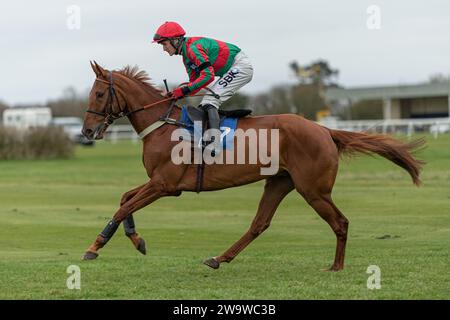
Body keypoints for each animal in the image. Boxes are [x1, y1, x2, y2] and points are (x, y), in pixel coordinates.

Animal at [81, 62, 426, 270]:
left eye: (98, 93)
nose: (86, 131)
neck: (163, 124)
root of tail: (324, 130)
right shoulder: (160, 183)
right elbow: (125, 199)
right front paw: (136, 240)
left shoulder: (165, 184)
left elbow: (123, 207)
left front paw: (95, 246)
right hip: (279, 182)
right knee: (259, 224)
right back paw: (219, 258)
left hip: (313, 190)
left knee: (340, 222)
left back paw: (336, 266)